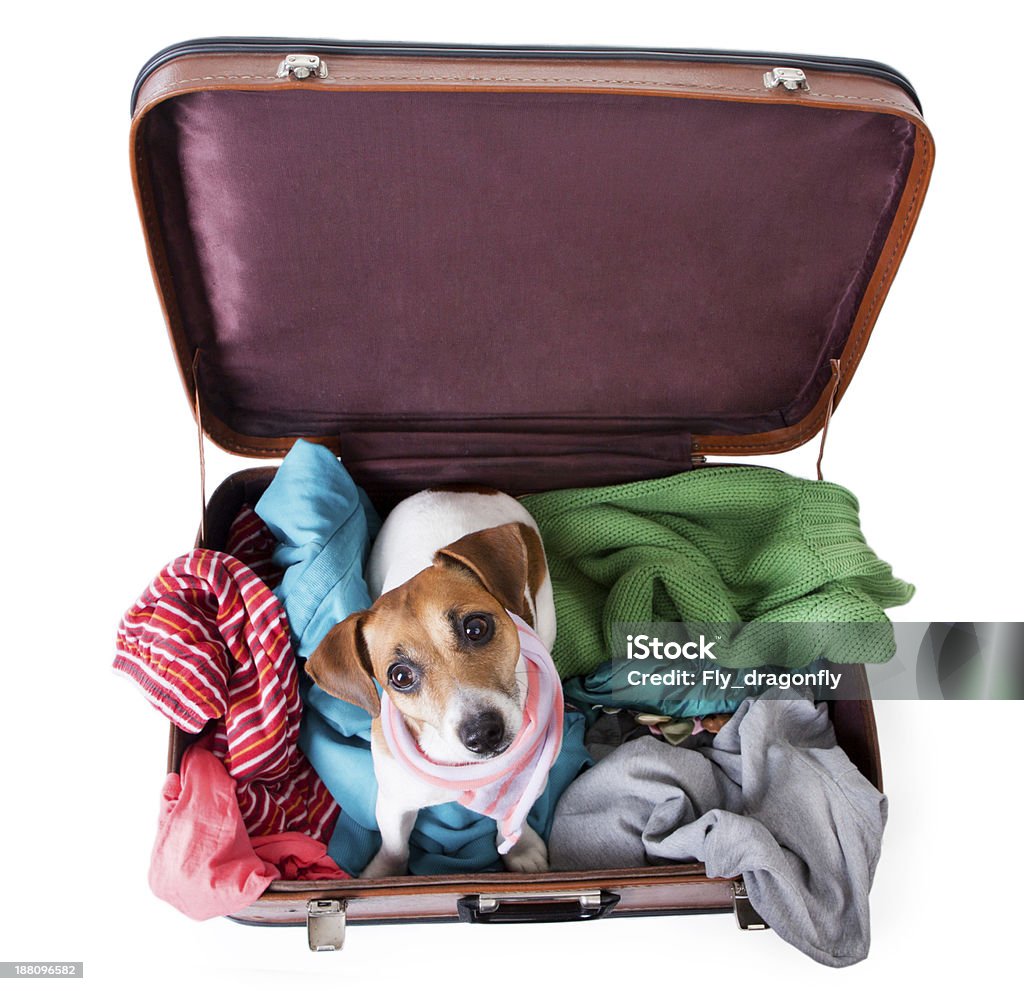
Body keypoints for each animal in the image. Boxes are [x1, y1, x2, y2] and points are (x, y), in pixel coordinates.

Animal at [305, 483, 561, 880]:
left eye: (476, 627)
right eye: (400, 676)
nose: (482, 733)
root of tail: (460, 486)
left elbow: (511, 818)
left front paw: (521, 848)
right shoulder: (394, 802)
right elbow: (395, 847)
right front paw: (384, 874)